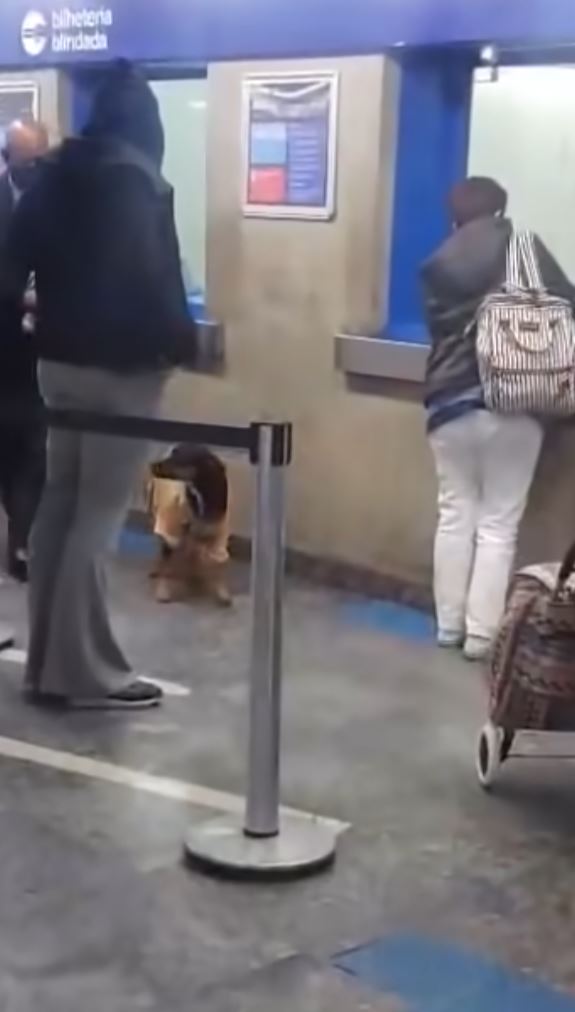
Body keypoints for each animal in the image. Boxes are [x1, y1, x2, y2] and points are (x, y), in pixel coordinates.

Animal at [146, 445, 232, 607]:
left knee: (191, 550)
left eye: (180, 459)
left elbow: (219, 563)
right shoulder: (171, 530)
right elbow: (167, 563)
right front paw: (163, 591)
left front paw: (222, 592)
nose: (152, 465)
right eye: (173, 454)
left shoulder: (217, 533)